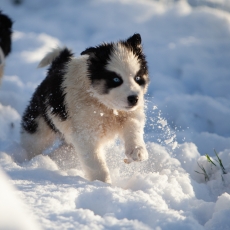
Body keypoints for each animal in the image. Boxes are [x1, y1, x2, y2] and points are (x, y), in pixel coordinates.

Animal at [21, 33, 149, 183]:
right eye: (116, 79)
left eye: (138, 78)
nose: (134, 99)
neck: (105, 106)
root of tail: (56, 67)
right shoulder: (85, 135)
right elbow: (95, 162)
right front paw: (102, 183)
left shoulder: (130, 114)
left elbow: (133, 128)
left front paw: (137, 151)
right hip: (39, 127)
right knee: (31, 144)